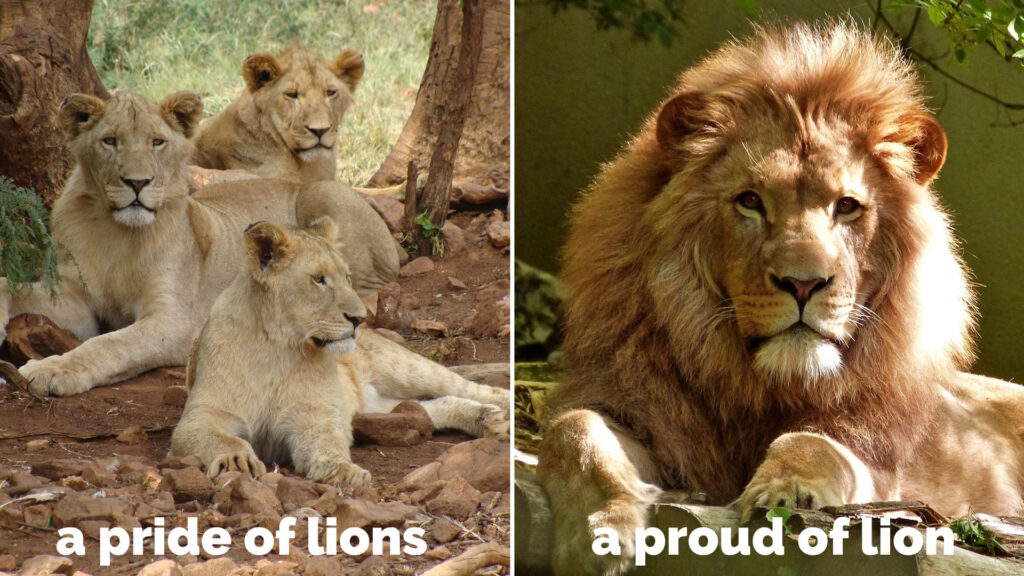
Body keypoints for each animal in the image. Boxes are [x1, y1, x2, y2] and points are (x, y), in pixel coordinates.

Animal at [0, 90, 399, 397]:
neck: (117, 234)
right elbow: (11, 285)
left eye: (157, 142)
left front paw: (52, 370)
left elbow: (108, 344)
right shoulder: (75, 300)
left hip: (322, 196)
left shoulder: (174, 321)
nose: (137, 183)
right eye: (109, 141)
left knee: (372, 294)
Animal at [171, 217, 510, 486]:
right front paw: (236, 461)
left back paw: (501, 412)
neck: (278, 347)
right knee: (428, 406)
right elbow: (220, 437)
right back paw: (486, 418)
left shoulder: (316, 416)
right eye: (319, 279)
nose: (360, 318)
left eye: (347, 277)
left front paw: (343, 471)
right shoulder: (201, 416)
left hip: (404, 366)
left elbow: (328, 442)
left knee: (472, 388)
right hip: (375, 406)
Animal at [536, 21, 1024, 575]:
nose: (804, 284)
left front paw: (787, 492)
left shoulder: (874, 458)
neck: (760, 384)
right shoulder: (639, 409)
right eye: (750, 201)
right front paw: (602, 530)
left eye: (847, 207)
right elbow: (574, 431)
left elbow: (813, 444)